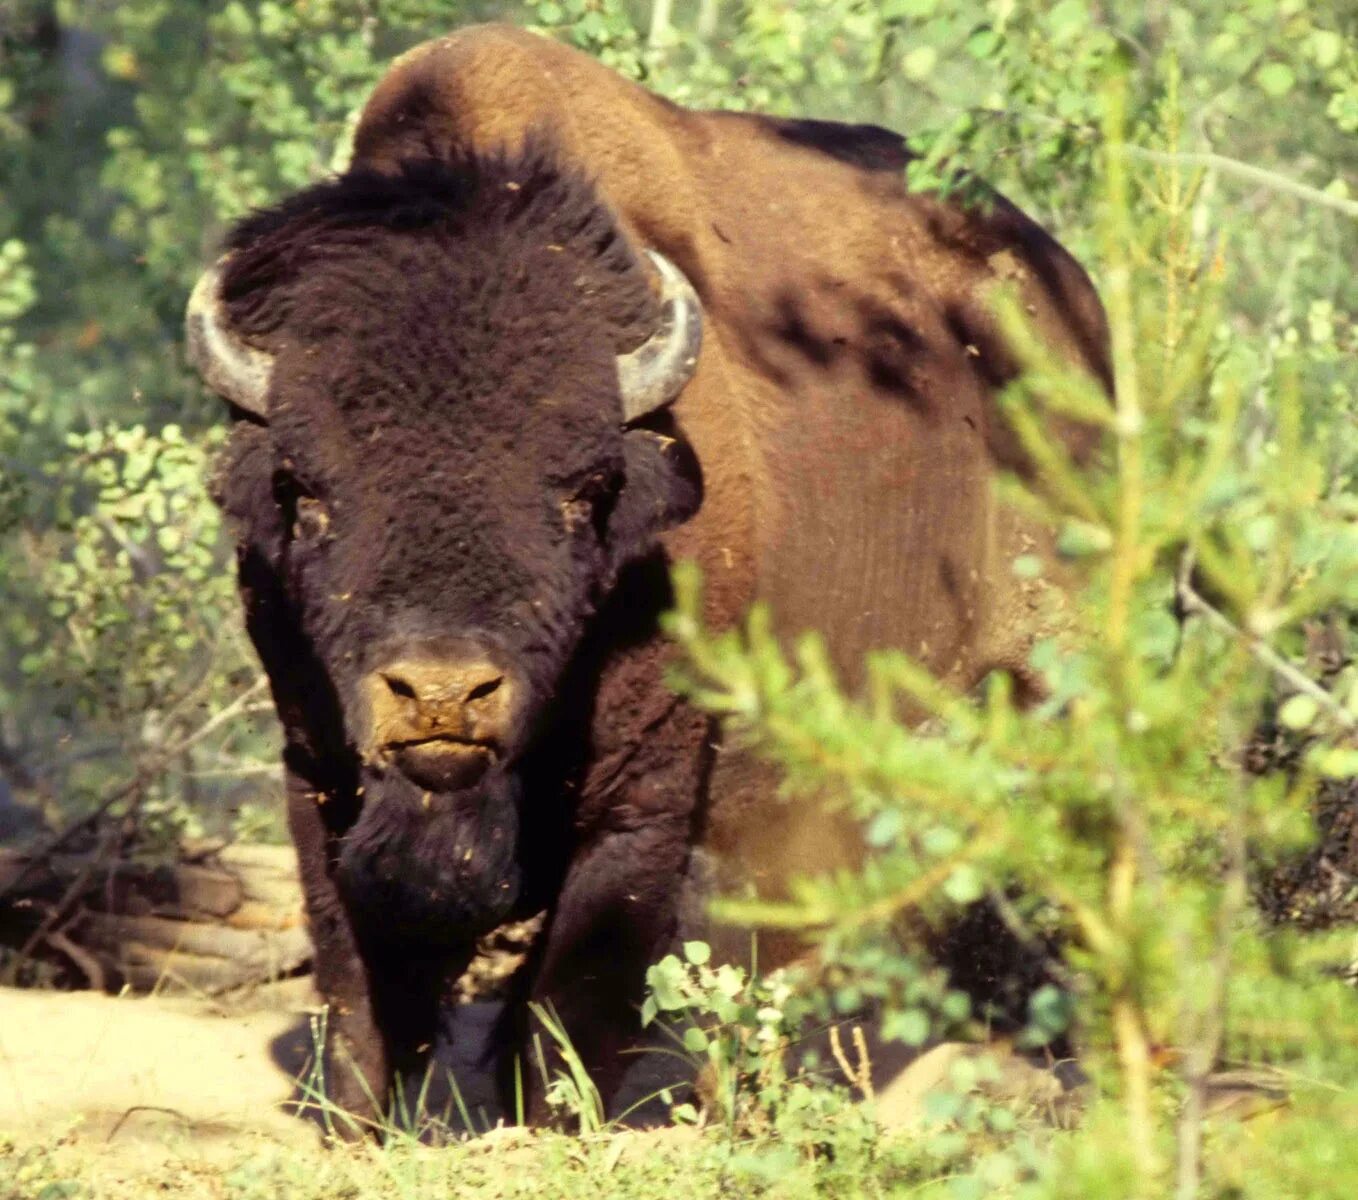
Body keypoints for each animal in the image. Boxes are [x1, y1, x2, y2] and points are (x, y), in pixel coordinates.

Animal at [186, 23, 1108, 1129]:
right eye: (303, 486)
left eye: (584, 489)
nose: (442, 695)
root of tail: (1069, 302)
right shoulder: (314, 764)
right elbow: (353, 968)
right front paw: (354, 1119)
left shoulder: (645, 786)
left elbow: (578, 981)